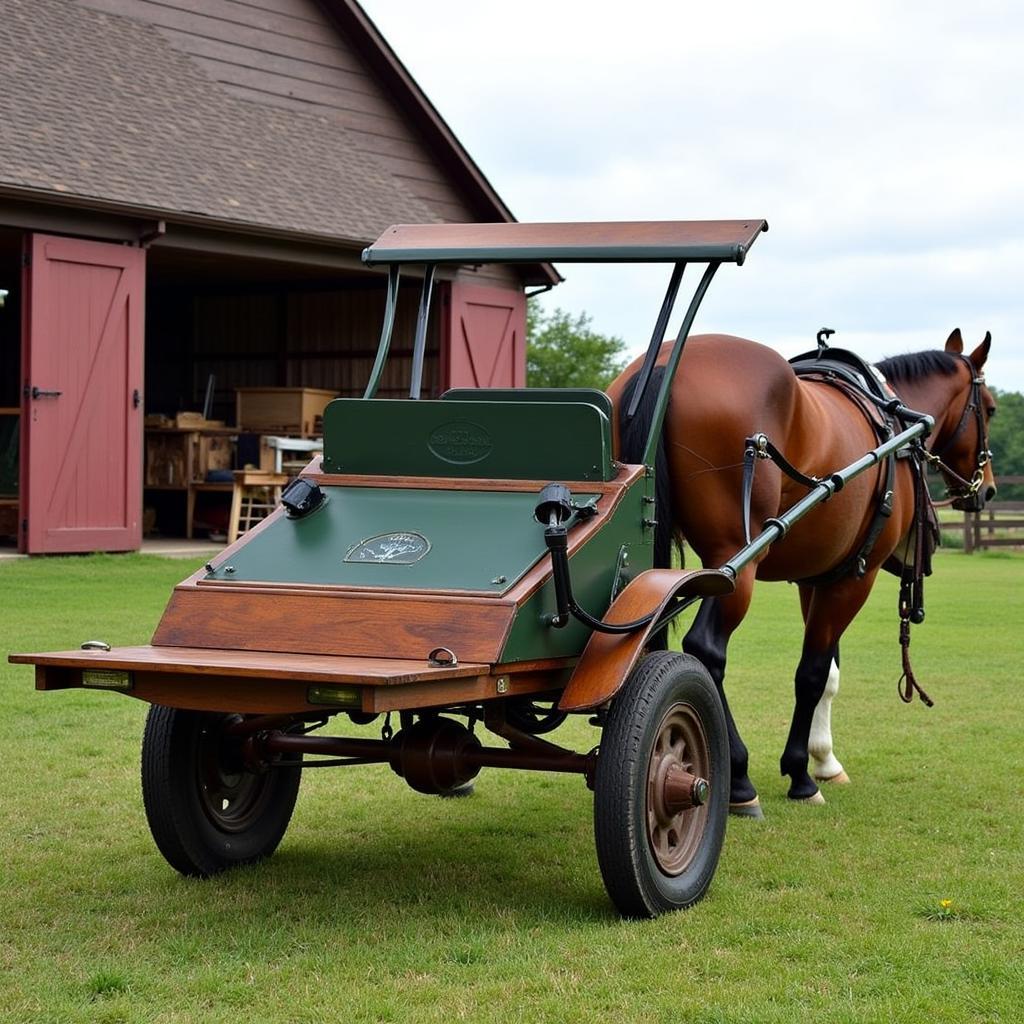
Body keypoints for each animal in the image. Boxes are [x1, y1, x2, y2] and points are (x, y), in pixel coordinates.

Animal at [606, 327, 991, 815]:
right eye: (990, 408)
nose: (986, 489)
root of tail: (661, 369)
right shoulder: (855, 577)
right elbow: (812, 673)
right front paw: (802, 774)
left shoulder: (819, 578)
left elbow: (829, 675)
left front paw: (825, 760)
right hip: (735, 565)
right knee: (705, 650)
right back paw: (739, 779)